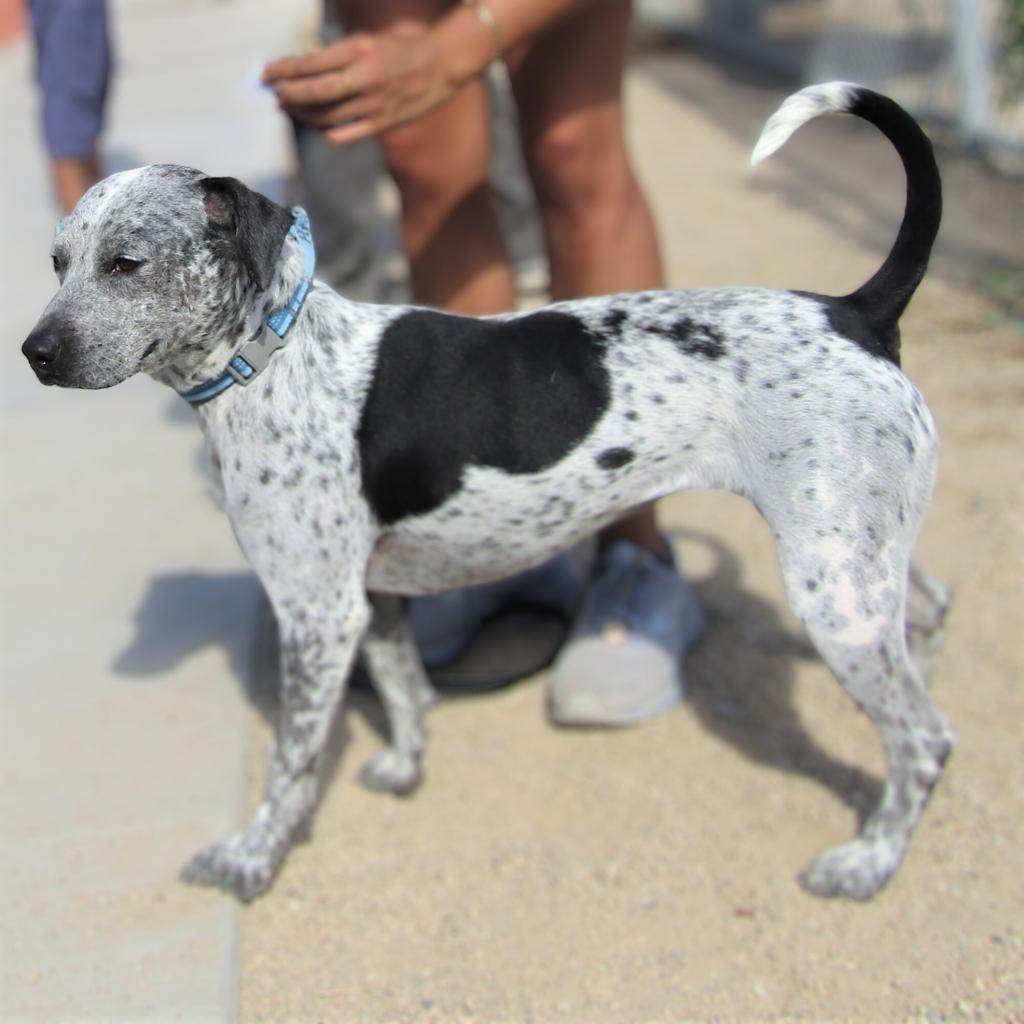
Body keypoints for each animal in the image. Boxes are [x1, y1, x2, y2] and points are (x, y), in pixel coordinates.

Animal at [22, 88, 950, 905]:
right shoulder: (370, 601)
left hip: (834, 593)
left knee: (927, 738)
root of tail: (854, 312)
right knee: (931, 622)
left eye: (126, 264)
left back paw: (868, 864)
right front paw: (406, 768)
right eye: (58, 263)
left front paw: (253, 860)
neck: (276, 355)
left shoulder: (317, 614)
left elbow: (290, 765)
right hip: (863, 563)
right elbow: (406, 691)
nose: (34, 352)